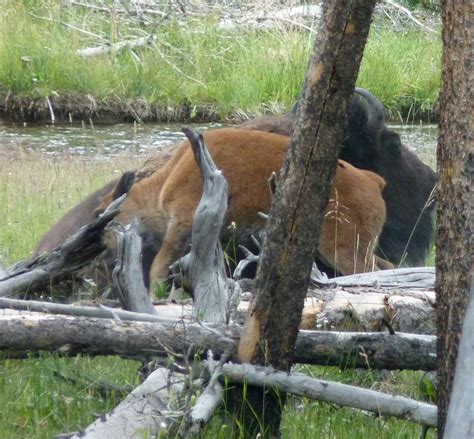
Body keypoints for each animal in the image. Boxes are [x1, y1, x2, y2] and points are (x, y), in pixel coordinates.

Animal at [96, 127, 392, 288]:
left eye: (103, 215)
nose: (101, 252)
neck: (165, 181)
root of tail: (373, 181)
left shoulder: (182, 223)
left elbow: (159, 265)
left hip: (343, 248)